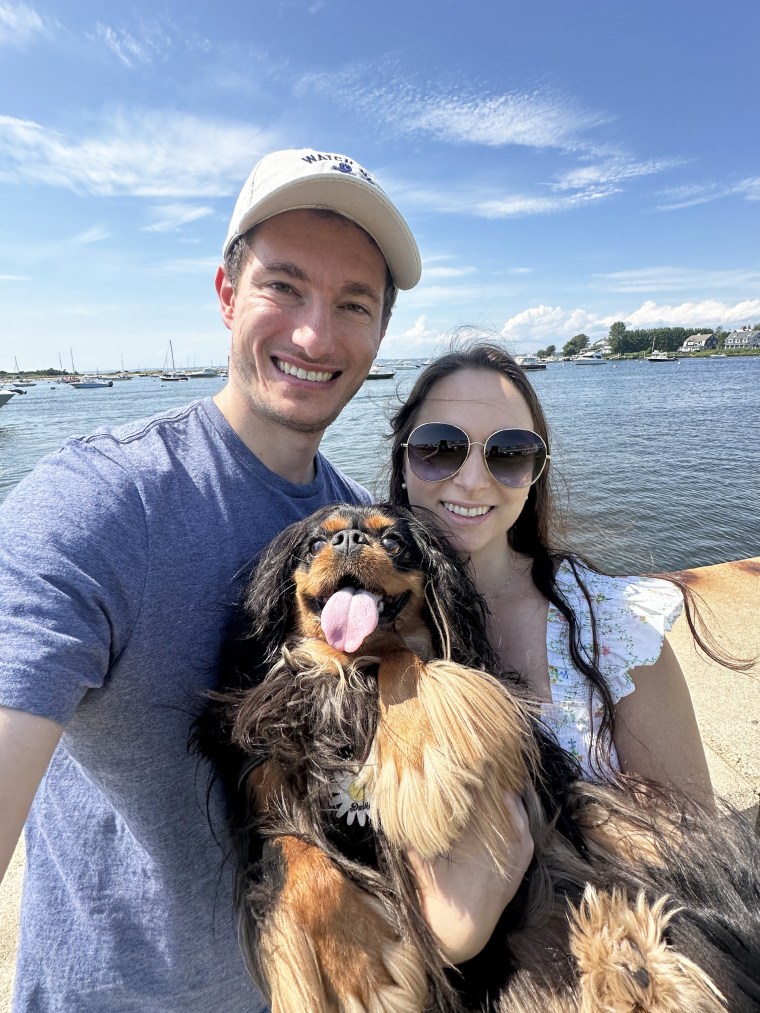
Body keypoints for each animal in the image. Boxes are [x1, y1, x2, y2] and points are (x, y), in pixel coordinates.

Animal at [194, 502, 760, 1008]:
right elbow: (293, 853)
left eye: (393, 541)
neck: (348, 671)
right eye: (315, 544)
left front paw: (420, 772)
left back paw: (629, 951)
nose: (349, 540)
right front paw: (355, 966)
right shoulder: (263, 786)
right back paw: (623, 956)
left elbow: (403, 659)